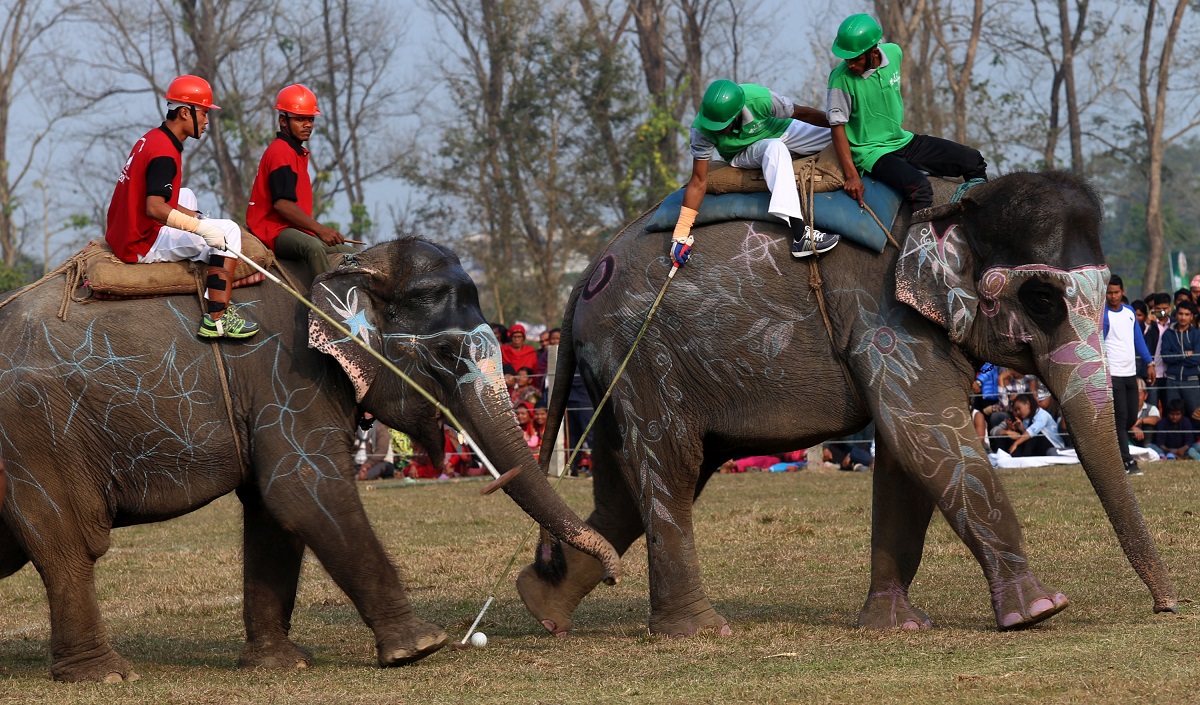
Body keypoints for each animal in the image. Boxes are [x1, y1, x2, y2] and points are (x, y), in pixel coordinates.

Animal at [0, 237, 621, 682]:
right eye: (447, 352)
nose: (613, 573)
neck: (348, 263)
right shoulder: (289, 375)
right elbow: (305, 489)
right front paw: (422, 645)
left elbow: (274, 511)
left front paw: (281, 664)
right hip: (35, 437)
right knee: (68, 544)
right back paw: (104, 676)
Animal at [517, 171, 1177, 637]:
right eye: (1042, 298)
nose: (1166, 606)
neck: (954, 201)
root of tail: (587, 274)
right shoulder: (883, 316)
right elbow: (925, 432)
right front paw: (1040, 611)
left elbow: (908, 455)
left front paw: (895, 627)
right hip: (646, 352)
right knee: (671, 465)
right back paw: (697, 633)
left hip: (622, 371)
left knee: (630, 484)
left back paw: (543, 602)